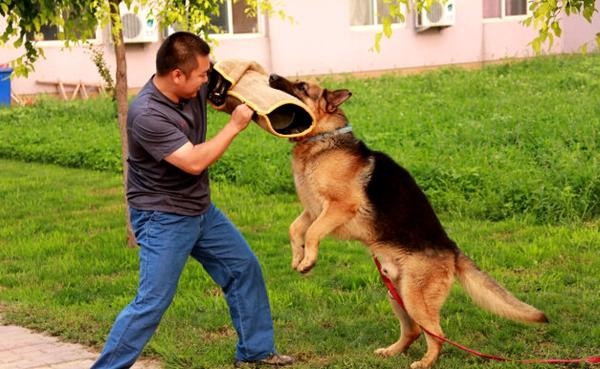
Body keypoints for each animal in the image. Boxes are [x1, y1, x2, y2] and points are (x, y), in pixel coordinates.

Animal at [270, 75, 552, 368]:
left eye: (302, 87)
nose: (271, 77)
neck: (323, 140)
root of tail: (451, 249)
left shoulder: (338, 207)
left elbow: (312, 233)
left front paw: (308, 260)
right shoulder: (314, 210)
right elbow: (295, 229)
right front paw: (298, 258)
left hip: (414, 298)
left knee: (436, 333)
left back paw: (426, 362)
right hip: (397, 293)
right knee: (414, 330)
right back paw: (393, 351)